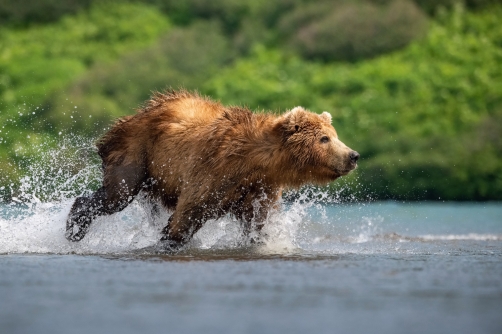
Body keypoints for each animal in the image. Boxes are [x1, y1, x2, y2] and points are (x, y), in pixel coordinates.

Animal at [65, 90, 356, 249]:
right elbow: (187, 215)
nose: (353, 155)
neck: (258, 162)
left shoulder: (259, 188)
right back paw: (74, 227)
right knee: (117, 194)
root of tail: (138, 112)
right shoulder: (214, 172)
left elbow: (258, 224)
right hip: (137, 150)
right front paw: (169, 240)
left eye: (334, 135)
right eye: (324, 139)